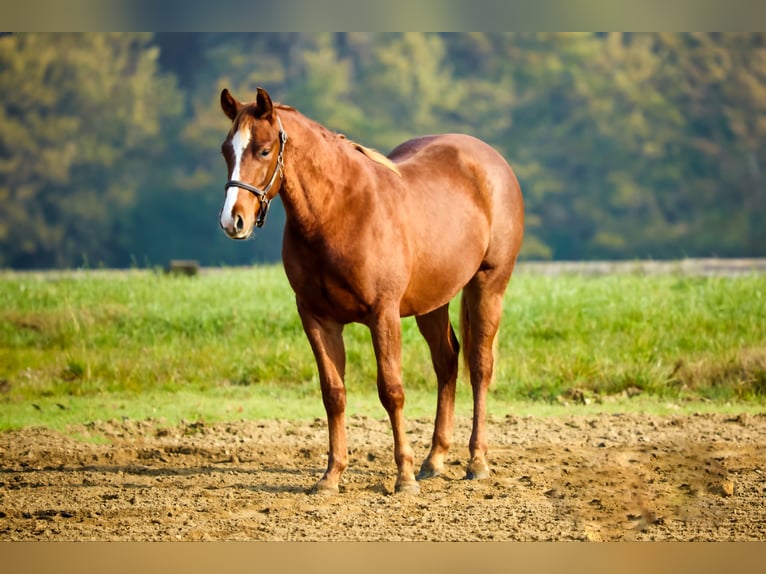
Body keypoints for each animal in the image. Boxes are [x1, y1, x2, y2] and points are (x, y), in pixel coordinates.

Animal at [219, 86, 524, 496]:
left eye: (264, 150)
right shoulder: (317, 319)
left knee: (479, 365)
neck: (338, 212)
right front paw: (331, 476)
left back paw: (476, 460)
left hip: (488, 285)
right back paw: (434, 459)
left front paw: (403, 477)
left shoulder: (383, 315)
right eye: (226, 150)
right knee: (447, 362)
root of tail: (494, 161)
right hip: (433, 302)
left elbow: (392, 391)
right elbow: (333, 393)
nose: (233, 220)